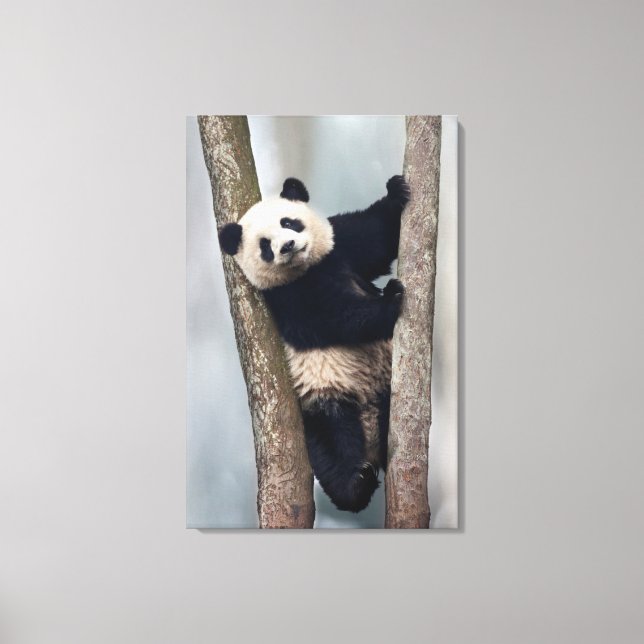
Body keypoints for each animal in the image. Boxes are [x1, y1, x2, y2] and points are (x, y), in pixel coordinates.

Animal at [218, 175, 409, 512]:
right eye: (265, 245)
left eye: (289, 222)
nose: (287, 246)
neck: (307, 270)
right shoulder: (287, 299)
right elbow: (334, 319)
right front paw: (391, 300)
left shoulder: (339, 247)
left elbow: (374, 236)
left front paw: (396, 191)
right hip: (323, 400)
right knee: (332, 446)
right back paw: (356, 483)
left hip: (385, 383)